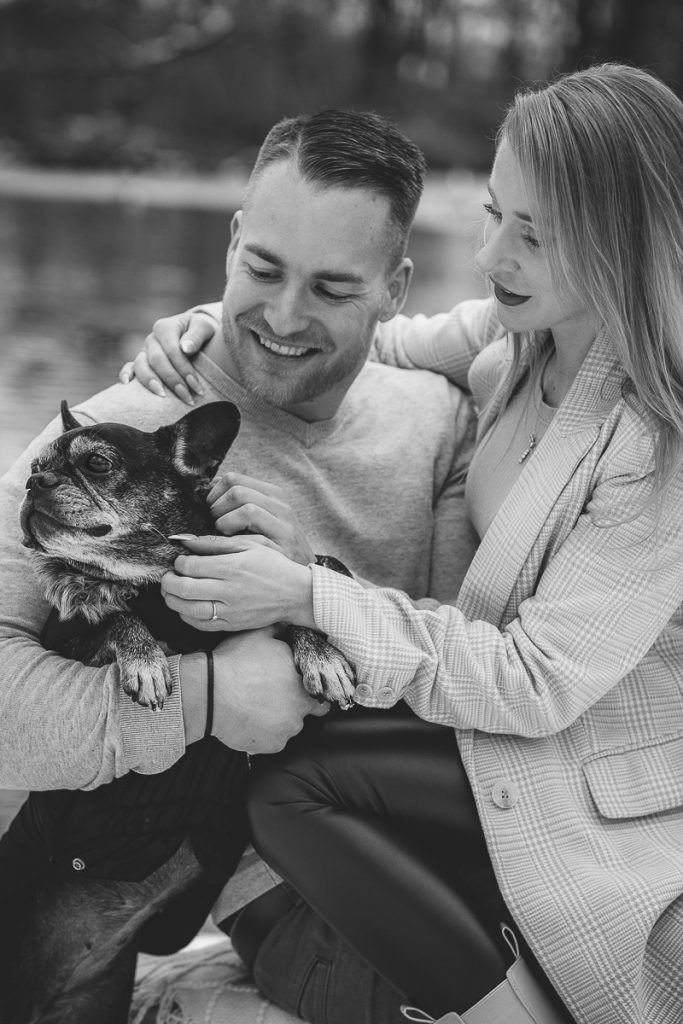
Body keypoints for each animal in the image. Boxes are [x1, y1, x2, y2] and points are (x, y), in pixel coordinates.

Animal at [1, 400, 355, 1024]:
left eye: (96, 463)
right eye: (37, 467)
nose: (33, 482)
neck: (155, 575)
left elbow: (306, 576)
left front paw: (322, 650)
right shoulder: (68, 639)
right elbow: (111, 616)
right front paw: (144, 658)